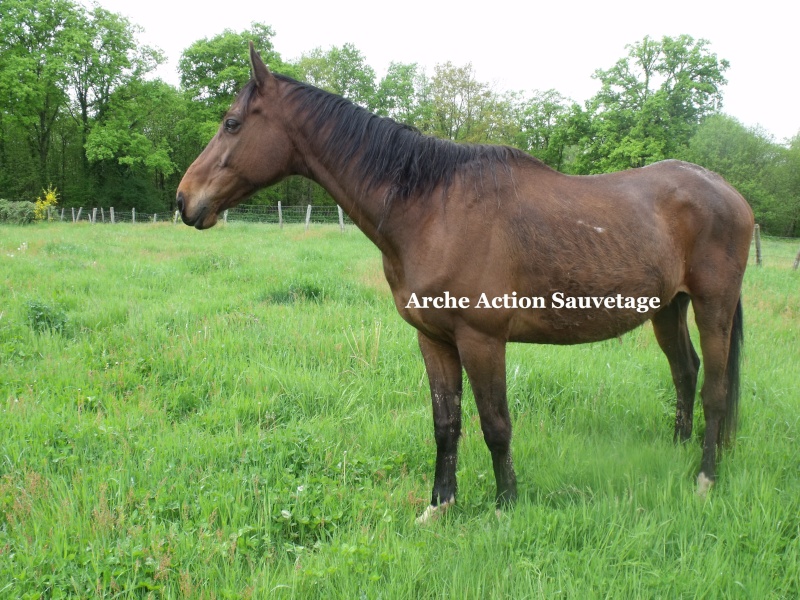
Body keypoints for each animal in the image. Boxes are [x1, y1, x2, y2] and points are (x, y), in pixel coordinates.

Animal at [177, 43, 756, 520]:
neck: (432, 209)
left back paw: (705, 478)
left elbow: (495, 424)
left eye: (232, 123)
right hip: (668, 308)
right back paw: (678, 451)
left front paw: (506, 505)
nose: (185, 200)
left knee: (715, 389)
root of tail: (728, 192)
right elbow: (446, 424)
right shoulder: (433, 340)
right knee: (685, 372)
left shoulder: (482, 340)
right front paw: (440, 506)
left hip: (713, 307)